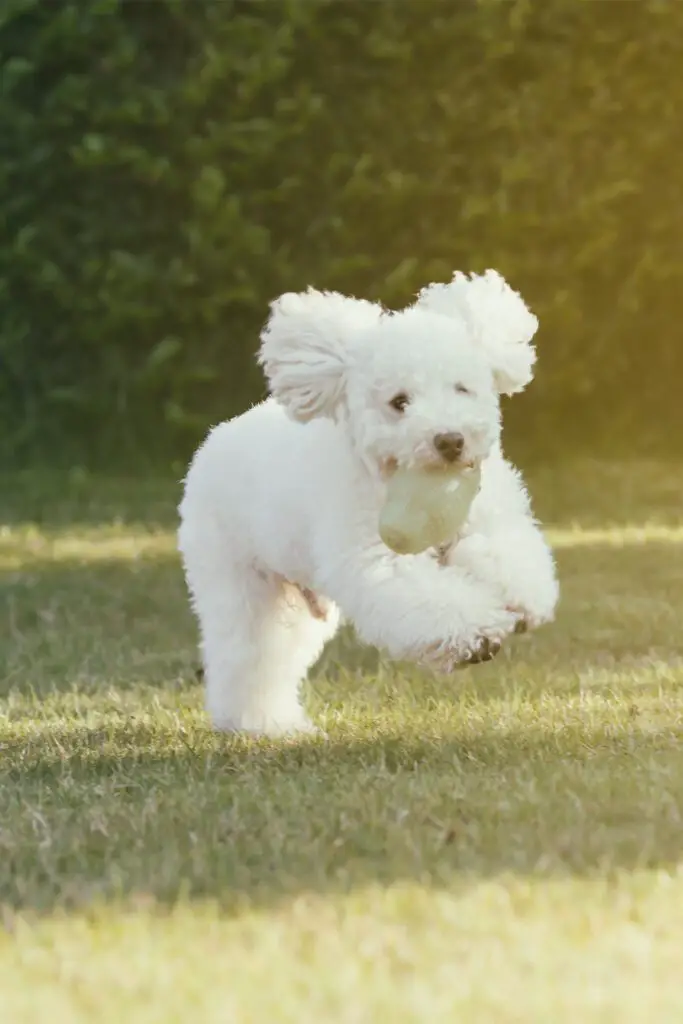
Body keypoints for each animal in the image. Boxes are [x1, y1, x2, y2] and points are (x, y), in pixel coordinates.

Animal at [179, 270, 557, 737]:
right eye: (399, 402)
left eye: (462, 388)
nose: (450, 440)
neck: (418, 488)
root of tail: (216, 438)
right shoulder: (378, 556)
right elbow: (427, 595)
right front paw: (476, 634)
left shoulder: (488, 518)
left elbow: (499, 550)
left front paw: (520, 600)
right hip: (238, 579)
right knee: (249, 652)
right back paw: (262, 724)